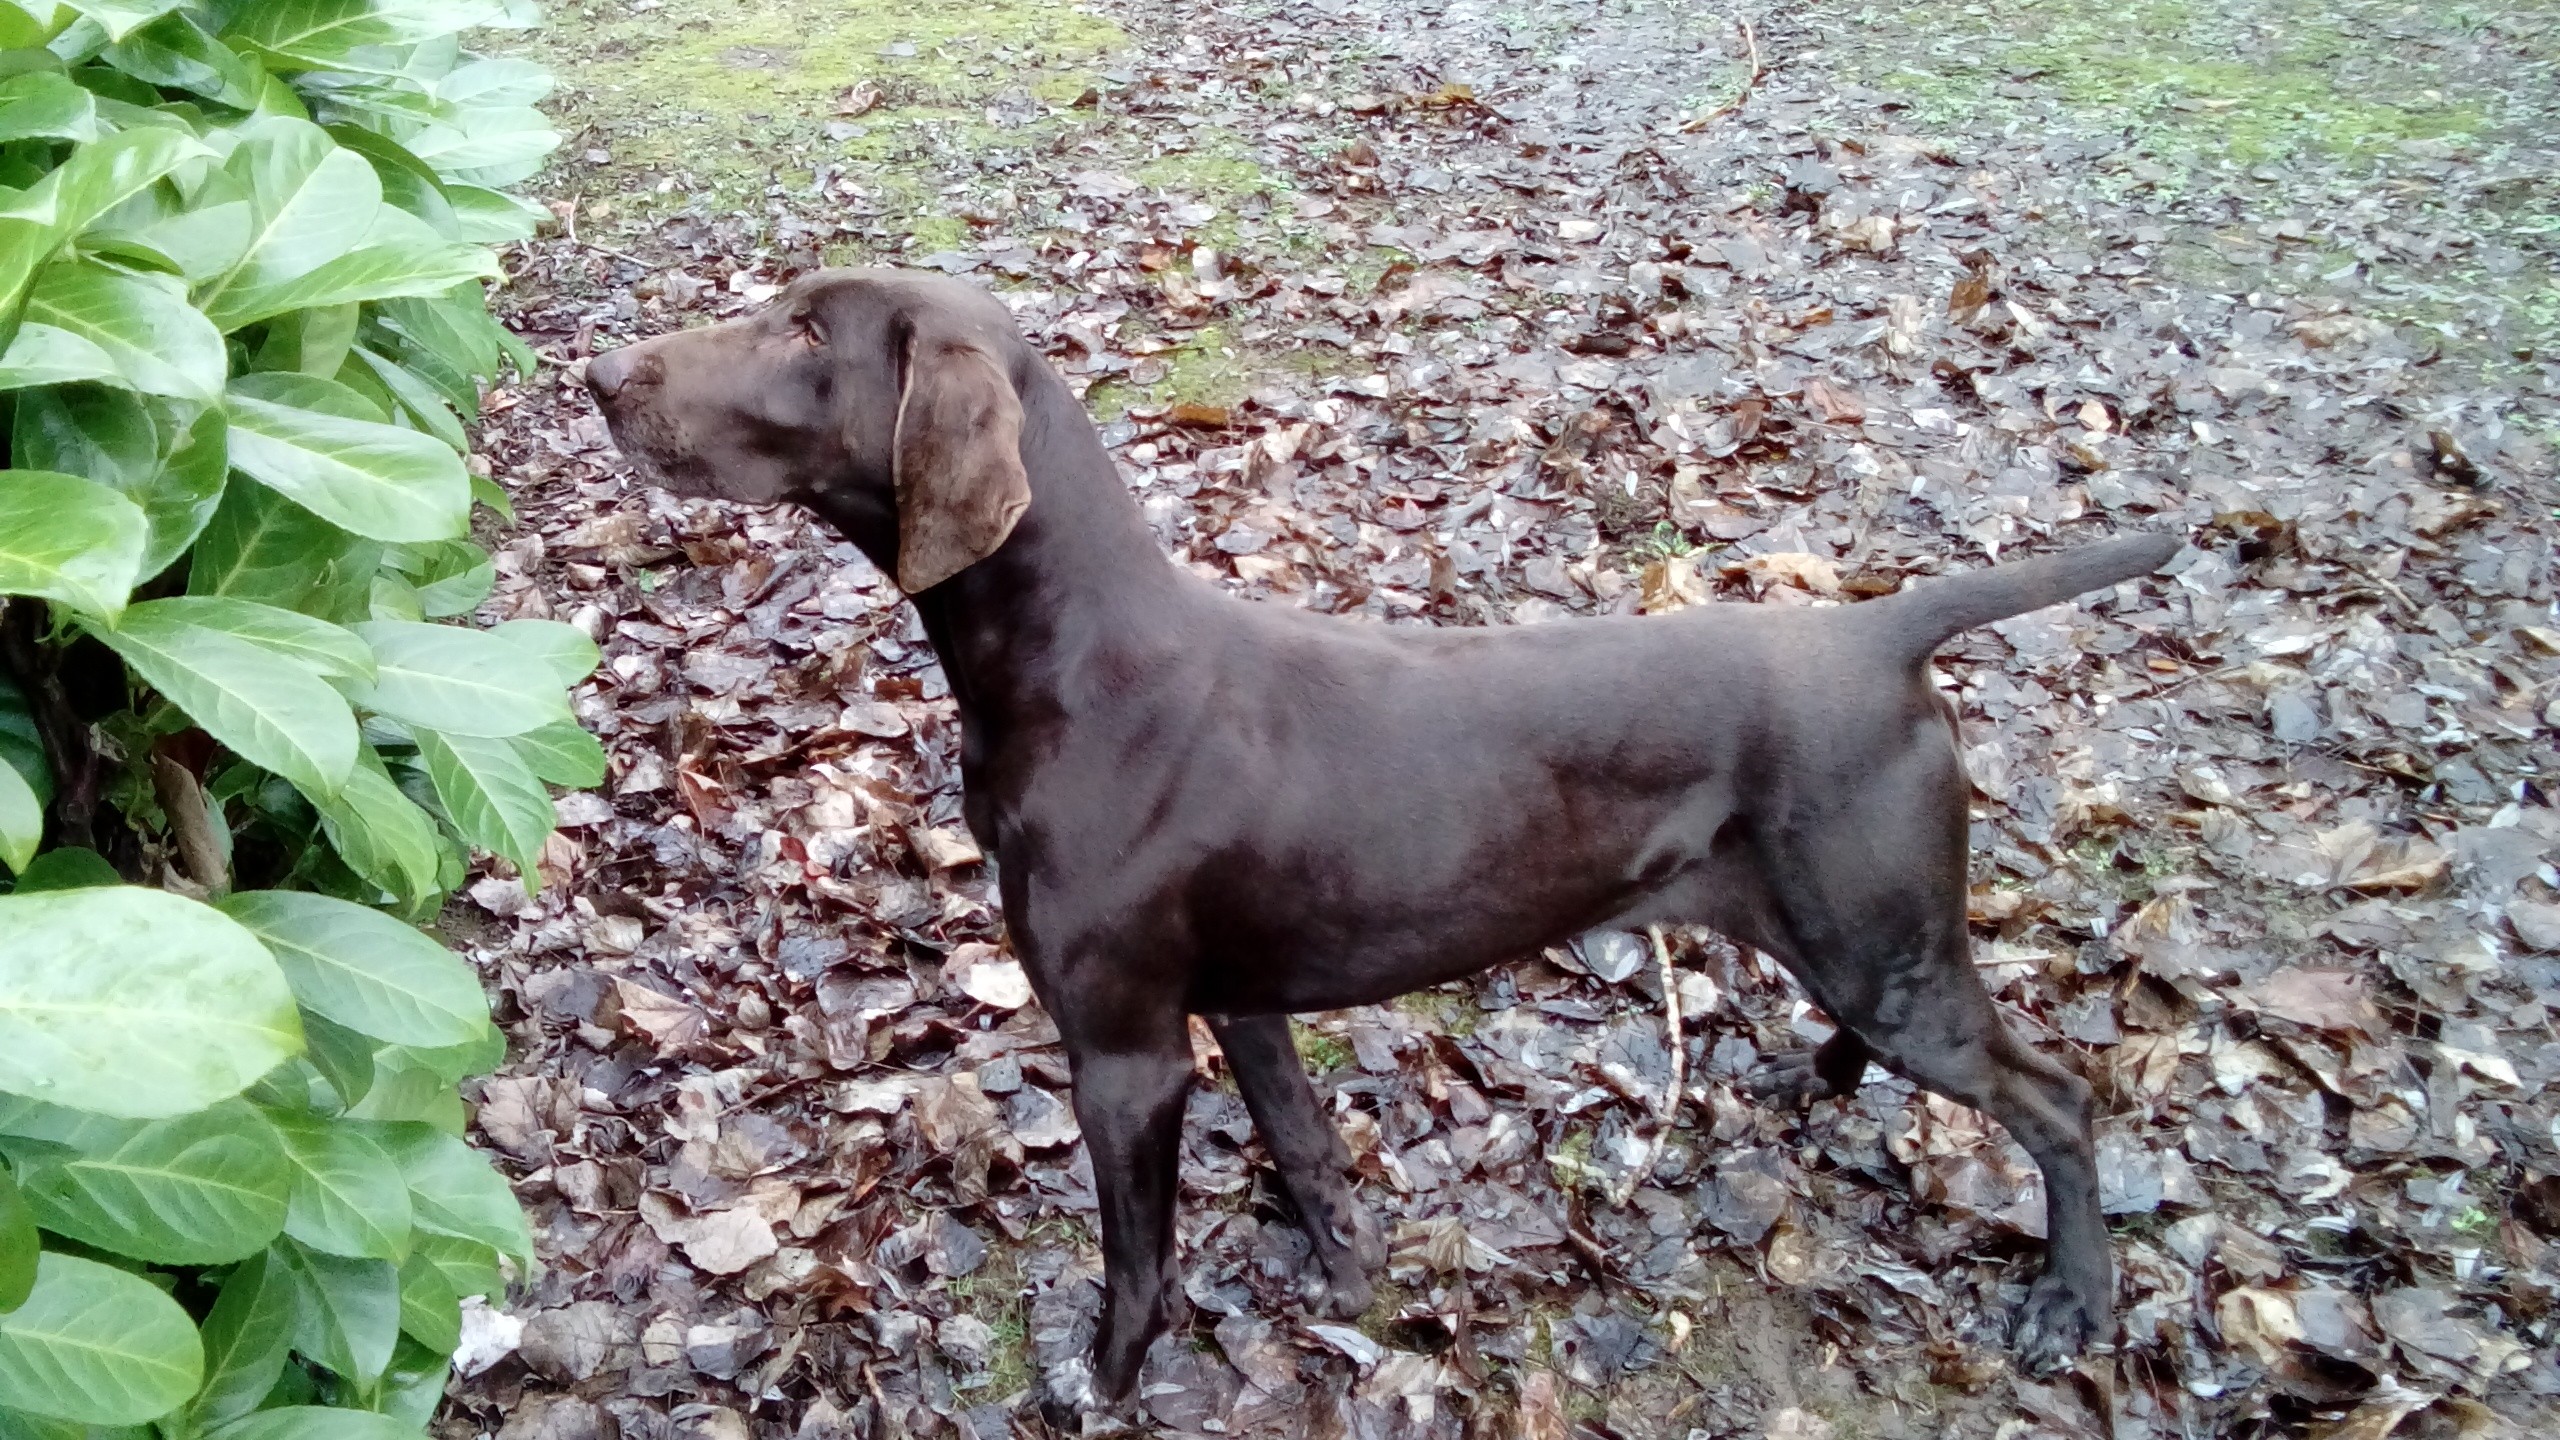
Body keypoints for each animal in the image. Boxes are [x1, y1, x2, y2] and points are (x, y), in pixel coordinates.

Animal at [586, 267, 2177, 1415]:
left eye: (805, 331)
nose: (601, 374)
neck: (1078, 668)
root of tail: (1879, 629)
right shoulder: (1241, 1002)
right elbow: (1304, 1153)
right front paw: (1347, 1280)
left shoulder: (1124, 1053)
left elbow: (1137, 1266)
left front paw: (1100, 1389)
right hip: (1855, 930)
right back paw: (1818, 1085)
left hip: (1882, 937)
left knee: (2059, 1098)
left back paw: (2072, 1302)